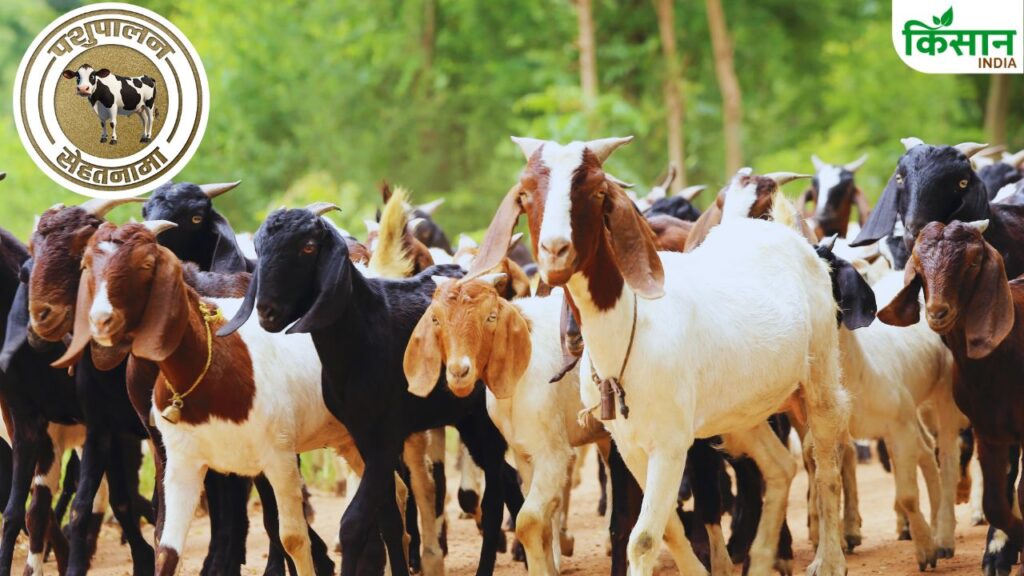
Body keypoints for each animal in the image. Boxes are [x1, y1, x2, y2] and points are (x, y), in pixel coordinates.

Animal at [219, 204, 524, 576]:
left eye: (308, 247)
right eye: (259, 247)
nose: (267, 311)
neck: (363, 331)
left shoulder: (386, 435)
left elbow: (354, 522)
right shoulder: (362, 434)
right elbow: (388, 518)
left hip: (483, 419)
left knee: (494, 495)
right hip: (466, 418)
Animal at [469, 137, 849, 576]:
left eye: (596, 191)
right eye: (527, 194)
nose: (554, 251)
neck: (629, 331)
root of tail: (788, 235)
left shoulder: (671, 444)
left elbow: (645, 537)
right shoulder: (629, 445)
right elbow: (665, 527)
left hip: (820, 378)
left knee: (825, 467)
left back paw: (828, 559)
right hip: (743, 412)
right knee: (780, 468)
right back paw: (761, 560)